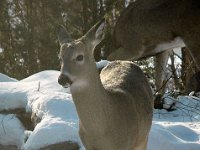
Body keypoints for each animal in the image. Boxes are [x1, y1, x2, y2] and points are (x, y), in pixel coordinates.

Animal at [57, 19, 154, 150]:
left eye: (80, 57)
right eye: (60, 58)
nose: (62, 79)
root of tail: (126, 61)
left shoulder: (126, 144)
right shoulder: (88, 145)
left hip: (143, 137)